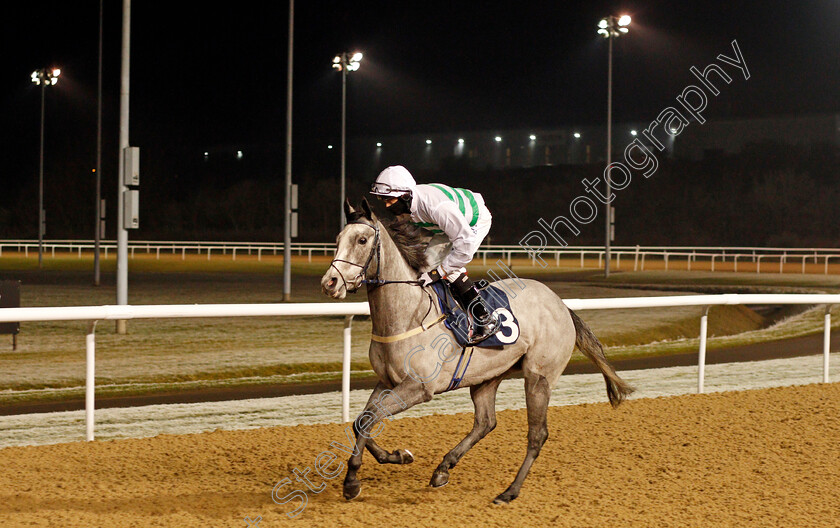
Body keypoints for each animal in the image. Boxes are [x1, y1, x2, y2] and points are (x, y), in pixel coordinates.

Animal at [318, 198, 632, 504]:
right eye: (338, 239)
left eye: (361, 240)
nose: (329, 283)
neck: (409, 315)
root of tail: (561, 305)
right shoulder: (387, 381)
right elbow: (362, 420)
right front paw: (396, 456)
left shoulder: (419, 388)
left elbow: (370, 418)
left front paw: (352, 481)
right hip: (488, 376)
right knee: (486, 422)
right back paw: (443, 469)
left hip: (539, 377)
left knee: (537, 434)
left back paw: (509, 491)